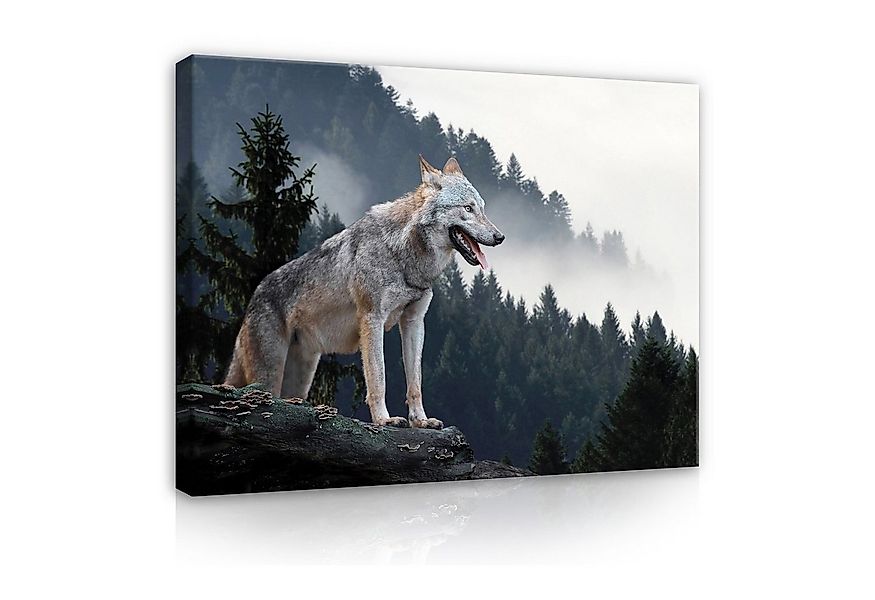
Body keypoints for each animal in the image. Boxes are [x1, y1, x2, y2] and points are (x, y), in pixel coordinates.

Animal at [224, 155, 505, 428]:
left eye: (482, 208)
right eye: (467, 208)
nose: (500, 237)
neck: (403, 255)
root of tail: (254, 296)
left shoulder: (414, 321)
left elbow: (415, 382)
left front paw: (420, 421)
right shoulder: (372, 318)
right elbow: (378, 377)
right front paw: (384, 419)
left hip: (300, 379)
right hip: (270, 375)